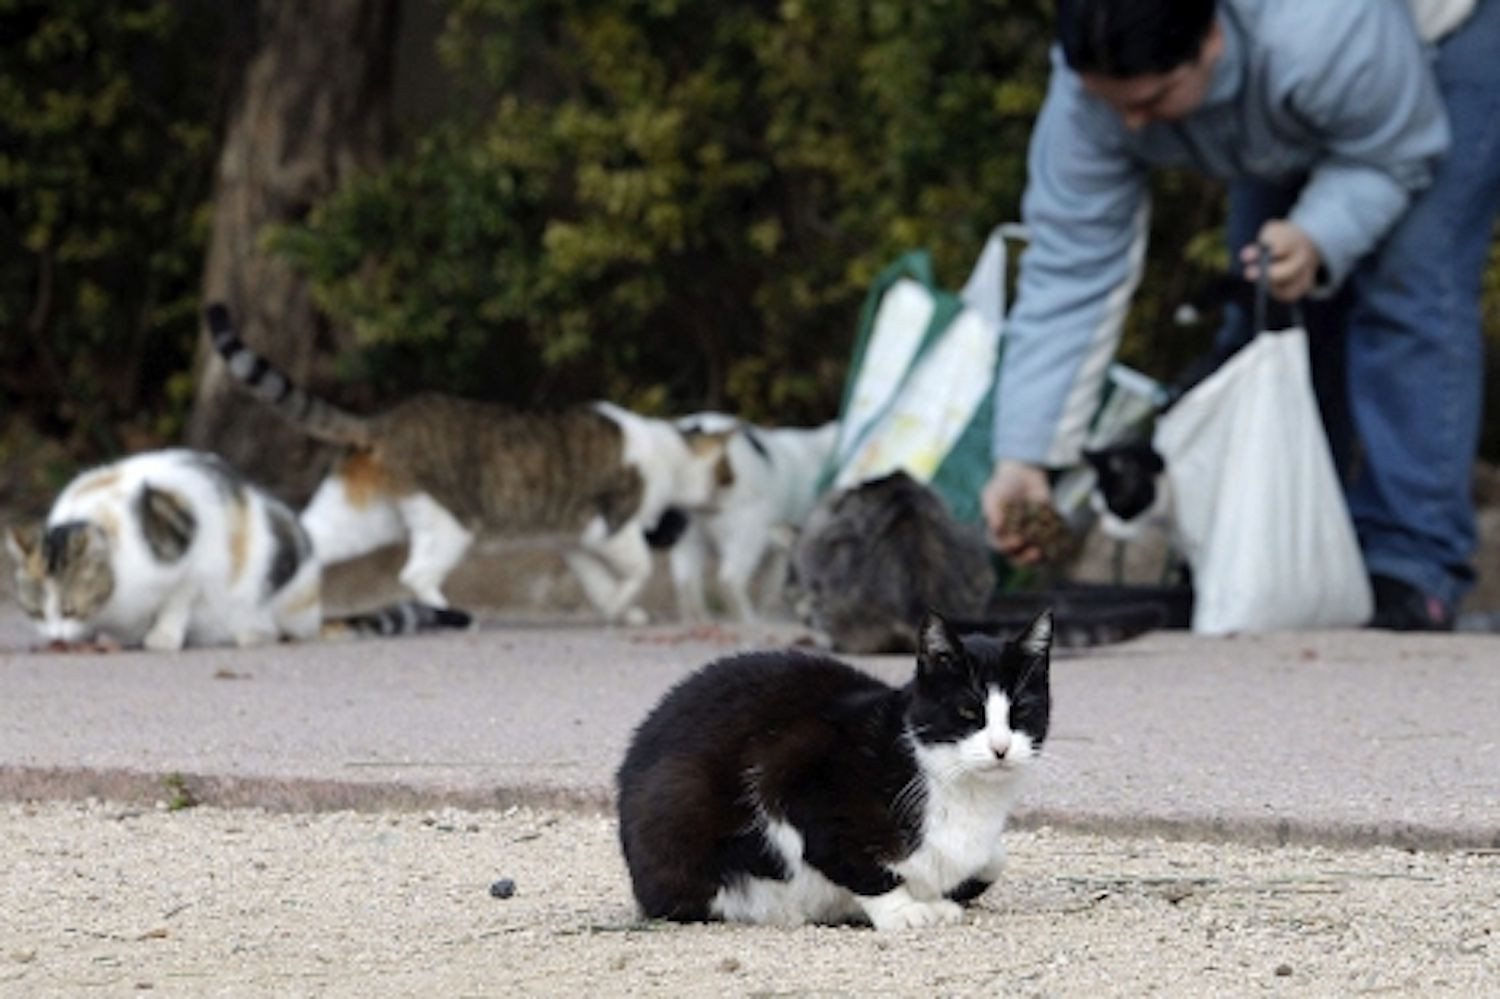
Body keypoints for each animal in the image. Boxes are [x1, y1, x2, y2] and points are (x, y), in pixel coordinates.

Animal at [7, 447, 468, 651]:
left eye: (69, 609)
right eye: (36, 613)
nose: (55, 637)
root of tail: (314, 613)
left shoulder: (195, 557)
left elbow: (179, 598)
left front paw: (162, 636)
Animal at [205, 301, 732, 624]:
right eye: (727, 475)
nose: (726, 496)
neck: (670, 448)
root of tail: (384, 422)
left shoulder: (574, 539)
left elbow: (598, 583)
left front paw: (617, 611)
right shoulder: (613, 526)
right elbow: (638, 569)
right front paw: (625, 603)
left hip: (362, 516)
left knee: (305, 538)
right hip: (450, 521)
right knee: (415, 575)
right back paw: (451, 616)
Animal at [615, 606, 1050, 924]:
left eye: (1022, 711)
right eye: (968, 712)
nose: (1000, 748)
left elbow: (994, 860)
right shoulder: (790, 772)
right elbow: (850, 858)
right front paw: (903, 910)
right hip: (681, 800)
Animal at [663, 411, 840, 615]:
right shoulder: (777, 547)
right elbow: (772, 590)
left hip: (690, 536)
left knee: (687, 584)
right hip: (746, 530)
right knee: (729, 580)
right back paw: (749, 618)